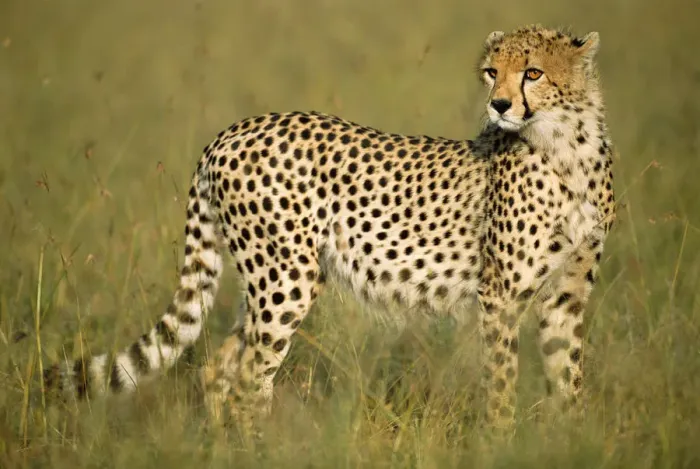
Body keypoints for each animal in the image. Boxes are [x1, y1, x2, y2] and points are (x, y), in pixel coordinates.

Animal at [44, 24, 616, 431]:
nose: (499, 105)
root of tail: (230, 132)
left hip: (265, 282)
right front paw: (501, 442)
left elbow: (568, 377)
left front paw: (569, 442)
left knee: (221, 367)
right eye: (492, 72)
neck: (568, 147)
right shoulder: (499, 296)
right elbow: (501, 382)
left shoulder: (566, 297)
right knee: (250, 378)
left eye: (533, 73)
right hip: (285, 279)